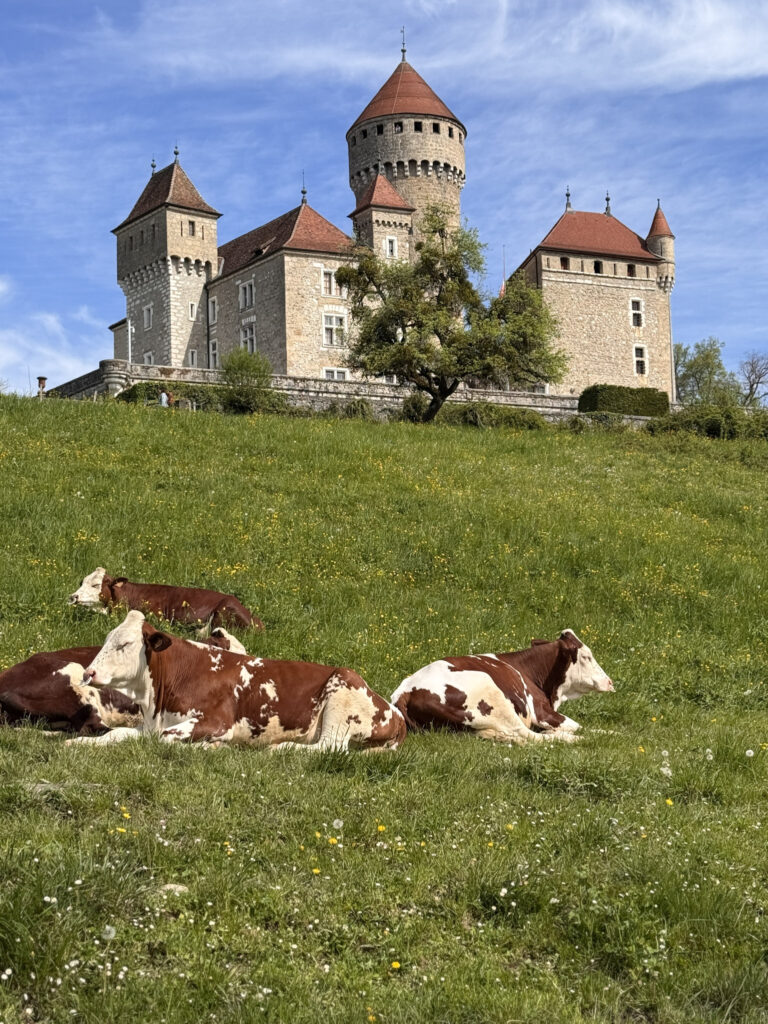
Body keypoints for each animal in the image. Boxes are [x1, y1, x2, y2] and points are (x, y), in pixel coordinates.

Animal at [68, 611, 406, 752]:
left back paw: (281, 748)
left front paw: (213, 748)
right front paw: (78, 742)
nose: (88, 672)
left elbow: (168, 739)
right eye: (107, 639)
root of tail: (395, 713)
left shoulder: (217, 722)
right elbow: (117, 735)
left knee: (329, 748)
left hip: (341, 702)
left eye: (124, 644)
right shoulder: (152, 725)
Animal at [390, 630, 613, 744]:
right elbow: (578, 725)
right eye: (586, 656)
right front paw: (611, 734)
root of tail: (403, 693)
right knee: (530, 736)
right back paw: (576, 739)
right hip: (490, 690)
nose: (610, 682)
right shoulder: (541, 712)